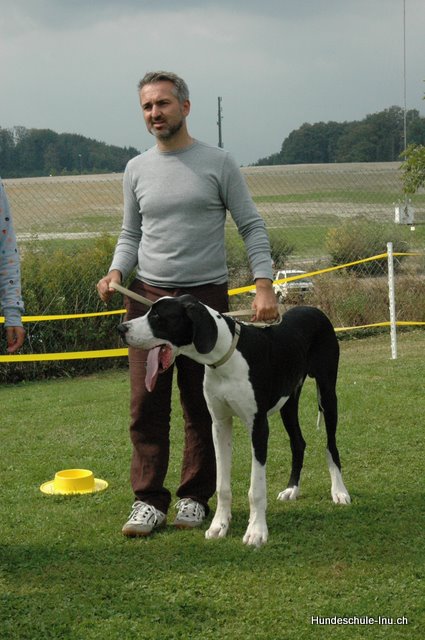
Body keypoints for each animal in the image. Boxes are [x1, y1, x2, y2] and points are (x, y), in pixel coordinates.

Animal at [117, 295, 350, 547]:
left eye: (158, 316)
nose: (121, 329)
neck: (225, 356)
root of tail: (315, 310)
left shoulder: (258, 427)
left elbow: (256, 488)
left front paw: (256, 531)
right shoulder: (219, 424)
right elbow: (222, 485)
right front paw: (219, 525)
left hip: (327, 393)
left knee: (331, 445)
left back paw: (339, 491)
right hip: (288, 401)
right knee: (298, 443)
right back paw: (291, 489)